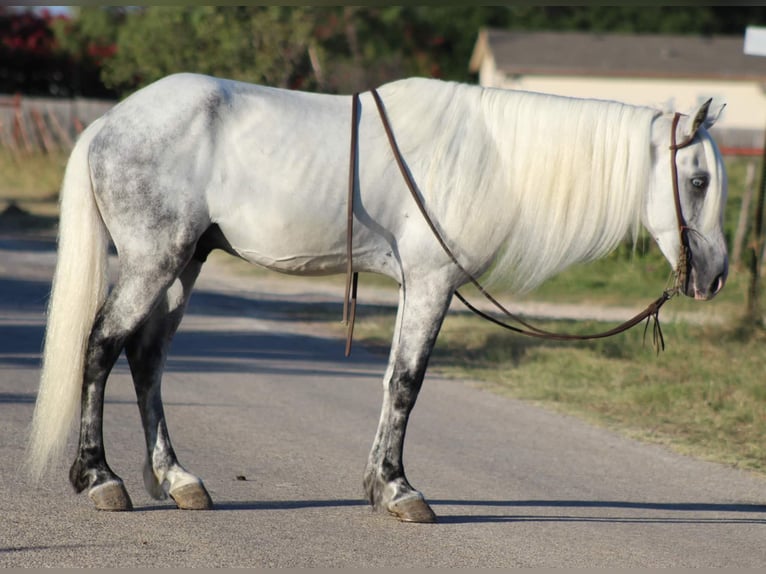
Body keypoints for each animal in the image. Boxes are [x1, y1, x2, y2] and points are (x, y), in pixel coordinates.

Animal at [25, 74, 728, 523]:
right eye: (697, 181)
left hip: (184, 266)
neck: (490, 157)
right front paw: (399, 491)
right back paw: (101, 479)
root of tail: (110, 122)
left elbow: (392, 380)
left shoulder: (419, 287)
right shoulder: (432, 283)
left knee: (146, 359)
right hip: (153, 264)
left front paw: (379, 484)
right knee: (101, 345)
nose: (715, 275)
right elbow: (408, 384)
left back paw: (176, 480)